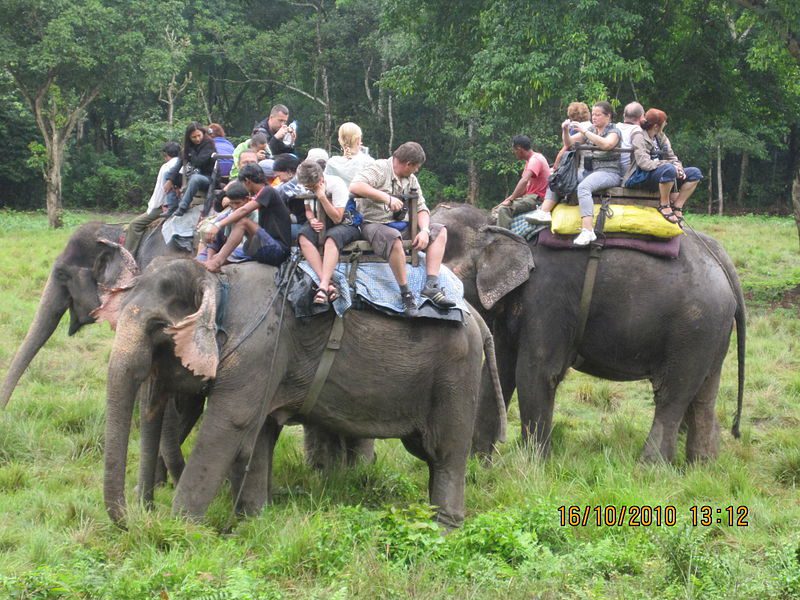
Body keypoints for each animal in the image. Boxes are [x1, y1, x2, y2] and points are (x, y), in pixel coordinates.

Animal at [103, 258, 506, 528]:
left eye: (158, 331)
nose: (140, 515)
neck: (218, 280)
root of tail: (475, 314)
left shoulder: (260, 347)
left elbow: (230, 425)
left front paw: (181, 531)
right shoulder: (267, 359)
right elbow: (260, 432)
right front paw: (253, 520)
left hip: (456, 373)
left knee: (445, 452)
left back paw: (444, 527)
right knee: (429, 453)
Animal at [428, 203, 748, 464]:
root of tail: (723, 263)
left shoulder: (547, 299)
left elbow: (536, 374)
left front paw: (530, 469)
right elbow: (500, 372)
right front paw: (477, 466)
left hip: (693, 327)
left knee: (672, 394)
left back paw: (650, 468)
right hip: (711, 331)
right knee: (703, 396)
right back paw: (700, 467)